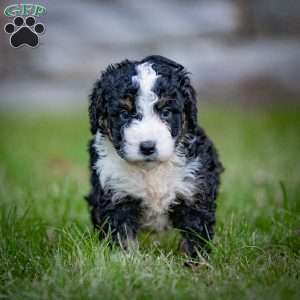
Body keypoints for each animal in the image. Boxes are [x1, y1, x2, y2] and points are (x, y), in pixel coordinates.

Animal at [86, 55, 223, 256]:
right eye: (124, 114)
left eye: (166, 112)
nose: (148, 147)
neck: (151, 171)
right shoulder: (116, 196)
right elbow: (122, 237)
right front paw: (125, 261)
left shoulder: (194, 194)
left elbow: (195, 237)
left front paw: (196, 262)